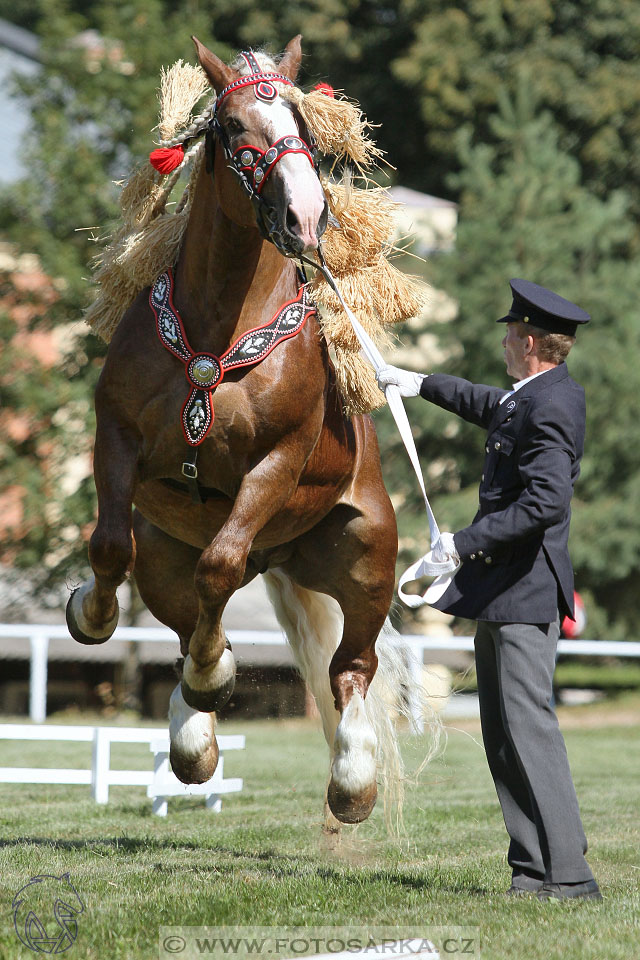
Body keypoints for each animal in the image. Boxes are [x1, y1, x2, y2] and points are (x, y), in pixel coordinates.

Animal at [67, 37, 402, 824]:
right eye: (232, 126)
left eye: (304, 127)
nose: (305, 213)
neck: (217, 329)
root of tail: (276, 559)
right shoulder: (115, 436)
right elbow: (109, 545)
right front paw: (92, 618)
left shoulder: (276, 462)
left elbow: (219, 565)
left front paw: (213, 676)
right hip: (167, 556)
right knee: (184, 614)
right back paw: (193, 731)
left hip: (367, 554)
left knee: (351, 666)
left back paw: (352, 778)